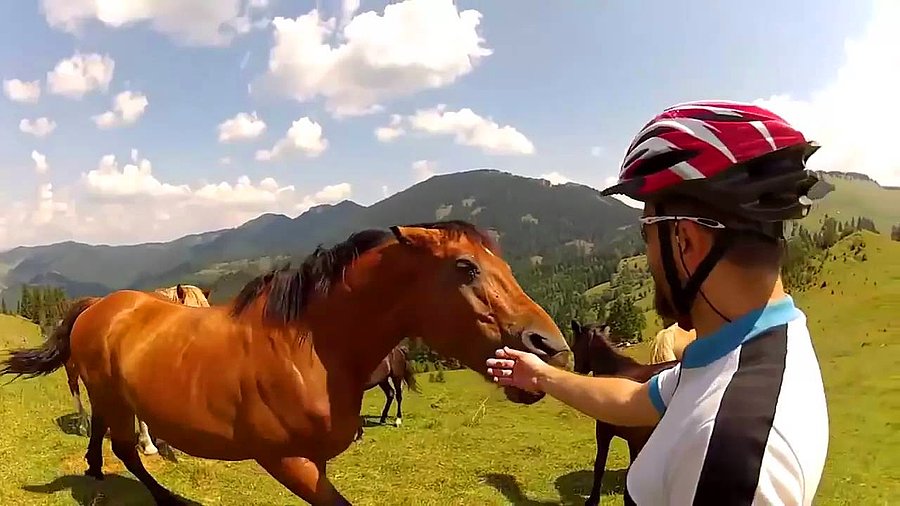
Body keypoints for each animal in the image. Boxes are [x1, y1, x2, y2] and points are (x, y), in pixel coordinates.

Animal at [0, 221, 568, 506]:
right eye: (466, 267)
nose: (549, 346)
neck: (312, 349)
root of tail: (98, 306)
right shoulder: (287, 461)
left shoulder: (315, 461)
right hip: (114, 397)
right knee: (126, 447)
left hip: (108, 392)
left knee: (103, 434)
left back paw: (96, 470)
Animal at [572, 320, 680, 506]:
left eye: (574, 347)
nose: (577, 368)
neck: (614, 371)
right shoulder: (633, 438)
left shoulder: (604, 432)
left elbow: (599, 465)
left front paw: (593, 500)